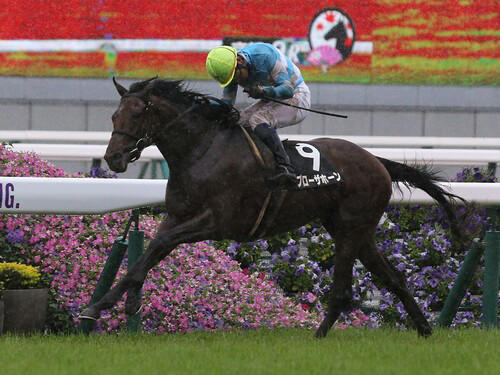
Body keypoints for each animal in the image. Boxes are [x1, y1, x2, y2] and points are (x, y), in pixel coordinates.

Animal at [79, 78, 464, 340]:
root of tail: (379, 162)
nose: (113, 158)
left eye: (136, 114)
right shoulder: (177, 215)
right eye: (114, 115)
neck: (202, 150)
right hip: (356, 231)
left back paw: (318, 336)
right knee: (394, 278)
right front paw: (122, 303)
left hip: (351, 230)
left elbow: (158, 247)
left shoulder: (216, 221)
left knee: (343, 290)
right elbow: (150, 253)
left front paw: (99, 306)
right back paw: (425, 329)